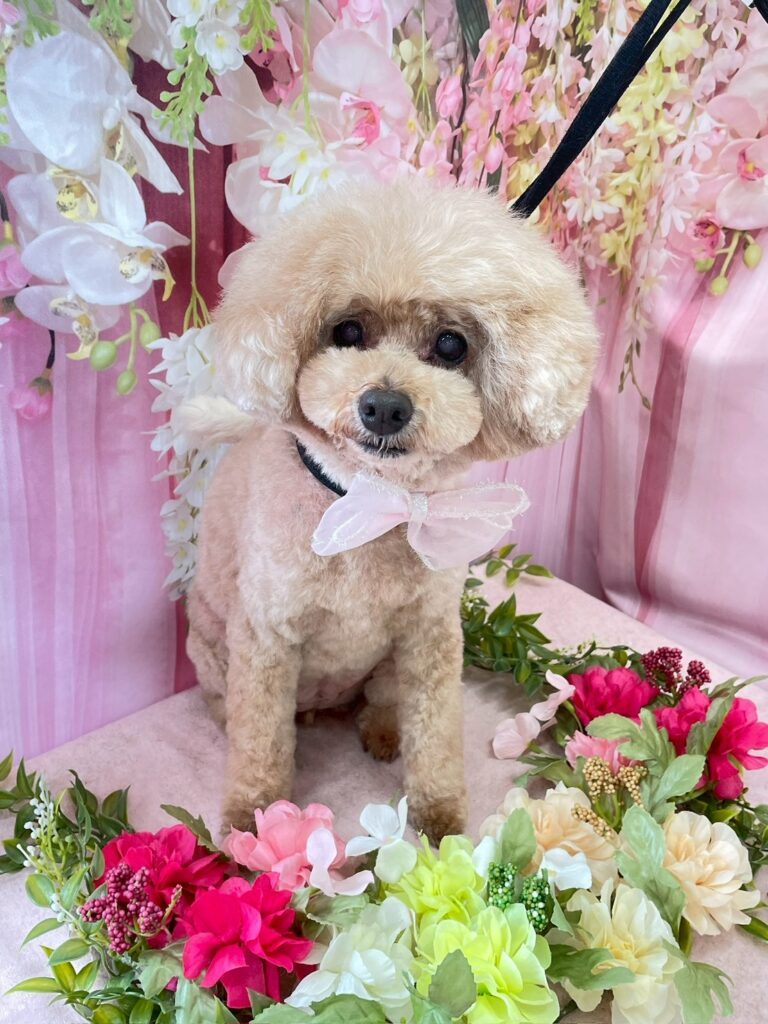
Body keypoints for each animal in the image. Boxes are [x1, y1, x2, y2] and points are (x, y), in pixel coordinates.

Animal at [184, 178, 598, 842]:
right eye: (348, 331)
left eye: (450, 345)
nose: (384, 406)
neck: (368, 500)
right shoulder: (267, 636)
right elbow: (261, 742)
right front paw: (253, 822)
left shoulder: (430, 633)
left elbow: (436, 733)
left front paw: (441, 820)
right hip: (212, 646)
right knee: (229, 704)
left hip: (383, 665)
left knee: (383, 700)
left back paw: (382, 731)